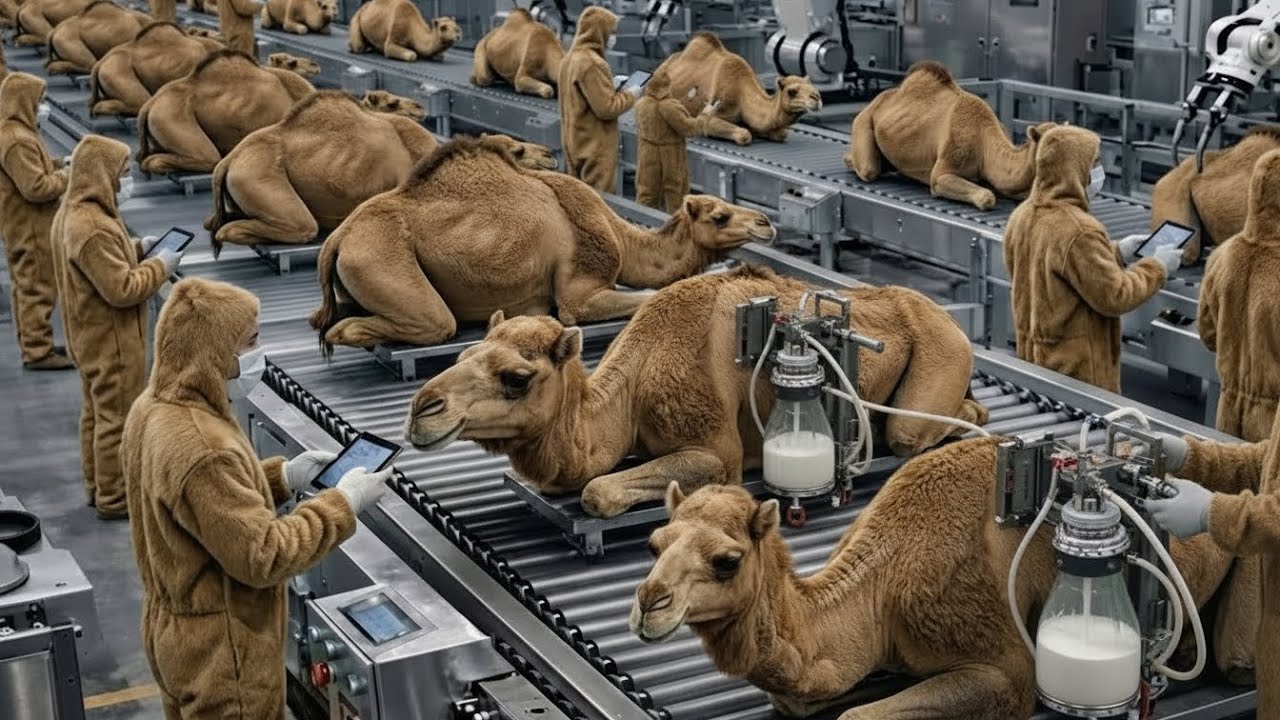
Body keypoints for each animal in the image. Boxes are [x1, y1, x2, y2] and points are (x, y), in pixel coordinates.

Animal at [310, 135, 775, 352]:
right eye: (719, 216)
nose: (766, 223)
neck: (621, 238)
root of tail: (338, 239)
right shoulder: (579, 294)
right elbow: (643, 297)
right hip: (381, 258)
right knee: (423, 323)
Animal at [404, 264, 989, 518]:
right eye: (461, 356)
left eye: (517, 378)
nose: (421, 412)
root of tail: (954, 323)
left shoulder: (714, 454)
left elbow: (596, 491)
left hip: (938, 356)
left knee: (912, 430)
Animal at [630, 437, 1253, 719]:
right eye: (655, 544)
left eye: (726, 560)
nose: (648, 604)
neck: (883, 590)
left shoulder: (1003, 670)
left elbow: (857, 714)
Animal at [651, 33, 821, 142]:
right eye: (792, 91)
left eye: (813, 87)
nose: (817, 98)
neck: (743, 95)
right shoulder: (713, 115)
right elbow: (744, 135)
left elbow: (781, 134)